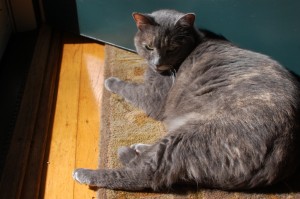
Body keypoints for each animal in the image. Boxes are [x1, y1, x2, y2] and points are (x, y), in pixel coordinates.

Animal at [73, 9, 300, 191]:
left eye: (172, 48)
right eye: (149, 47)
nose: (158, 63)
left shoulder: (153, 98)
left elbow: (128, 87)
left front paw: (110, 80)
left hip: (193, 135)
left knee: (148, 173)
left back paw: (85, 173)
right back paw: (138, 148)